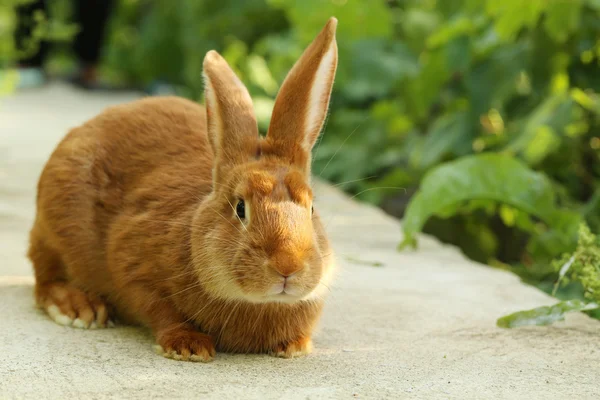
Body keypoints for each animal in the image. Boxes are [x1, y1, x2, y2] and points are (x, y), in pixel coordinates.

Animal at [28, 17, 340, 360]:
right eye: (240, 207)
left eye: (312, 207)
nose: (288, 266)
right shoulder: (133, 265)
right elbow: (157, 308)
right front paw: (189, 346)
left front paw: (295, 346)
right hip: (56, 227)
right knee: (45, 277)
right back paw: (79, 308)